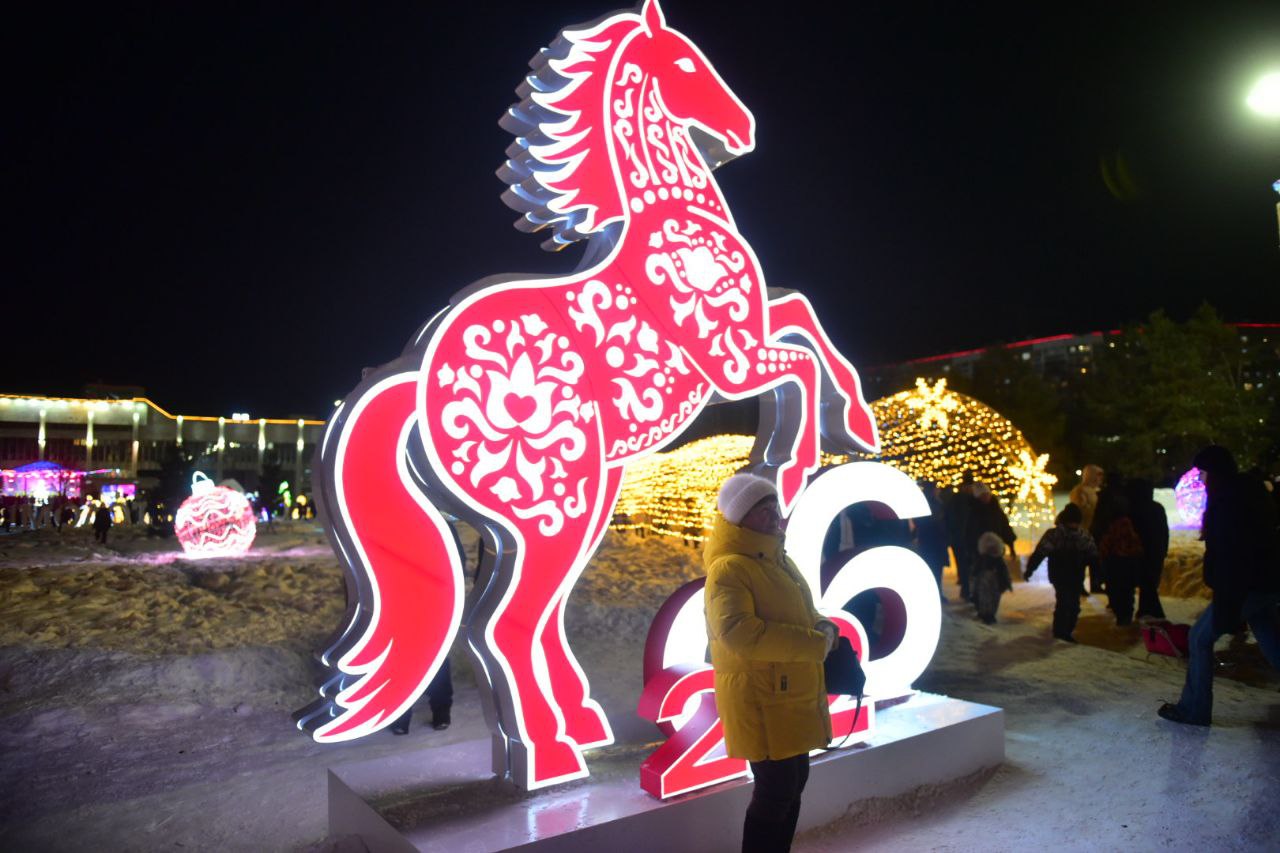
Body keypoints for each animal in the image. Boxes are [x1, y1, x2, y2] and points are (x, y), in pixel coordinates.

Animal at [297, 0, 880, 791]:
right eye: (688, 61)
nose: (744, 131)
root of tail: (416, 379)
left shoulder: (744, 341)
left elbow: (801, 316)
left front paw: (847, 430)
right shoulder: (731, 358)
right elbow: (802, 353)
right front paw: (797, 459)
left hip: (574, 507)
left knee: (531, 622)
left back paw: (577, 728)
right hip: (552, 514)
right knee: (497, 628)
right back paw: (547, 757)